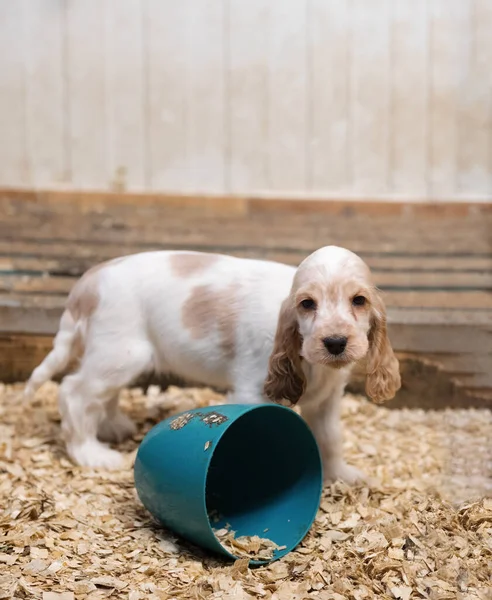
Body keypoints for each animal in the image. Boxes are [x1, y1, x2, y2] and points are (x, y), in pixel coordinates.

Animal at [25, 244, 400, 478]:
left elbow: (331, 438)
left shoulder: (326, 400)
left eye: (359, 300)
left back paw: (113, 426)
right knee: (74, 392)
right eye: (307, 304)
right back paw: (90, 452)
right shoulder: (253, 391)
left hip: (115, 356)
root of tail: (87, 283)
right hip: (122, 352)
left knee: (100, 394)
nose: (335, 343)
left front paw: (342, 475)